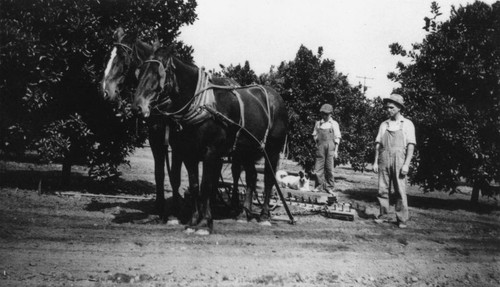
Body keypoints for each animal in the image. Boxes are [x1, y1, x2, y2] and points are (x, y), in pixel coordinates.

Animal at [133, 44, 290, 234]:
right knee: (252, 176)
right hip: (246, 150)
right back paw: (243, 214)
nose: (137, 107)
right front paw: (193, 220)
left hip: (272, 149)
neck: (202, 104)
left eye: (158, 74)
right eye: (139, 73)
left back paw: (264, 216)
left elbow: (207, 185)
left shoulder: (211, 152)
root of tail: (276, 96)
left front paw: (204, 223)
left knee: (268, 179)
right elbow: (194, 186)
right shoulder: (188, 153)